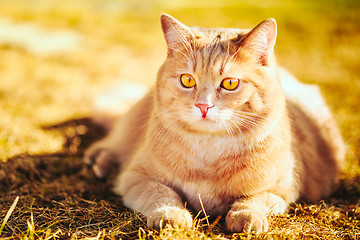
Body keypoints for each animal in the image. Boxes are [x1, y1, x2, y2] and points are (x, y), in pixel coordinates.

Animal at [83, 14, 346, 233]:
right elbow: (160, 193)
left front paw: (247, 215)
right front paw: (171, 214)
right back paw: (101, 163)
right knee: (108, 146)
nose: (203, 106)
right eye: (187, 80)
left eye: (230, 83)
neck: (208, 150)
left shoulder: (281, 190)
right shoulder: (136, 177)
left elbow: (254, 199)